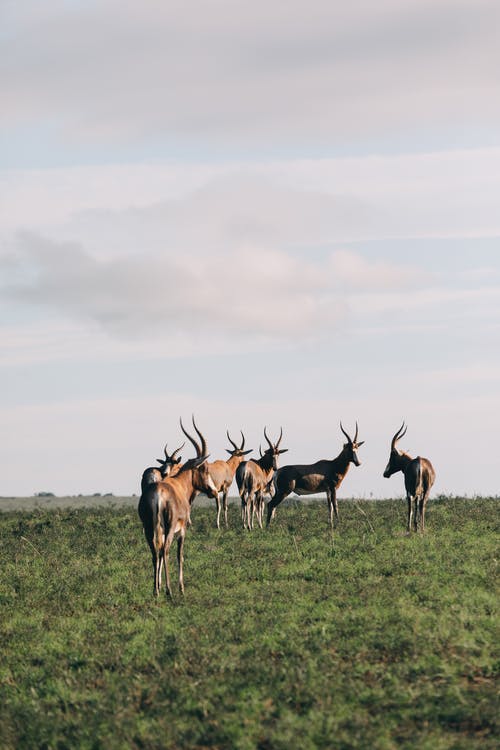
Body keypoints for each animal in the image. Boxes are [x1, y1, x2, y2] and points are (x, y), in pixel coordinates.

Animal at [137, 418, 217, 600]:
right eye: (204, 468)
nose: (213, 491)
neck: (179, 484)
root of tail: (158, 492)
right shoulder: (182, 530)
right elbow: (180, 555)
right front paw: (181, 587)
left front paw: (159, 586)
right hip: (169, 526)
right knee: (165, 550)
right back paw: (169, 590)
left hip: (149, 527)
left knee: (155, 551)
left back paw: (156, 590)